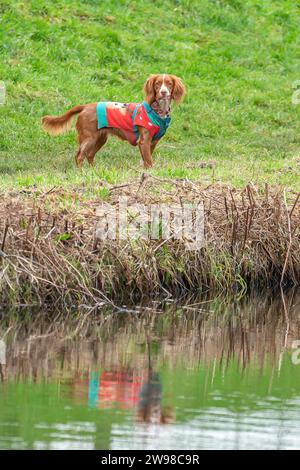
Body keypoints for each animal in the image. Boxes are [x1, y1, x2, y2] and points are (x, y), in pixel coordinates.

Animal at [41, 73, 184, 169]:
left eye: (169, 84)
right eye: (157, 84)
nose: (163, 92)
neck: (157, 111)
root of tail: (86, 106)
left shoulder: (153, 142)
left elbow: (146, 160)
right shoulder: (144, 141)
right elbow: (148, 160)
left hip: (100, 138)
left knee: (89, 155)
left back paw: (93, 171)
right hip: (89, 138)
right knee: (79, 156)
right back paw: (81, 172)